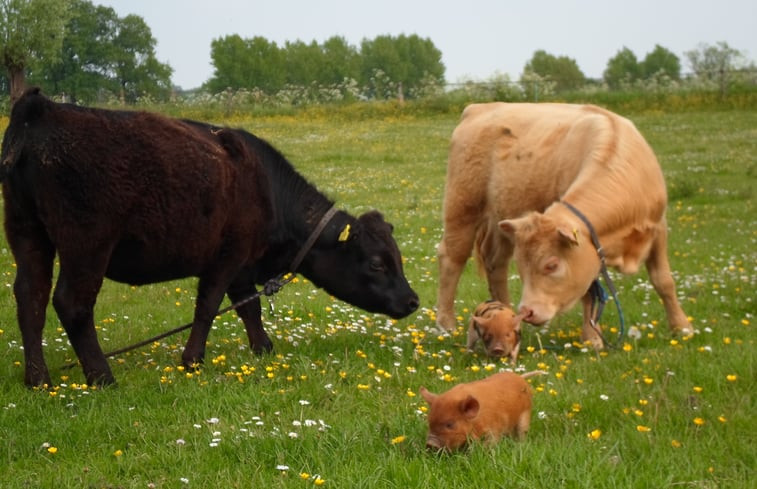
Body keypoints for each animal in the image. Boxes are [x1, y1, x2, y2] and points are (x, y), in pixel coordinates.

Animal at [1, 87, 420, 386]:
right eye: (377, 263)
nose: (413, 300)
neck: (268, 190)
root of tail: (42, 108)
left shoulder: (243, 264)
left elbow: (248, 307)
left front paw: (263, 348)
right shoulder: (226, 256)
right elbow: (207, 307)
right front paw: (192, 360)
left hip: (27, 232)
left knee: (30, 297)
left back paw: (37, 379)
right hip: (87, 244)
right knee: (71, 302)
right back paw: (102, 376)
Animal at [434, 101, 692, 346]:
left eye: (551, 265)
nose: (527, 311)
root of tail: (480, 108)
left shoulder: (658, 228)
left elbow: (663, 281)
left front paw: (681, 327)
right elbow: (589, 292)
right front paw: (592, 338)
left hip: (502, 219)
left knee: (495, 262)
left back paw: (504, 314)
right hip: (462, 208)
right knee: (452, 259)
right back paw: (446, 324)